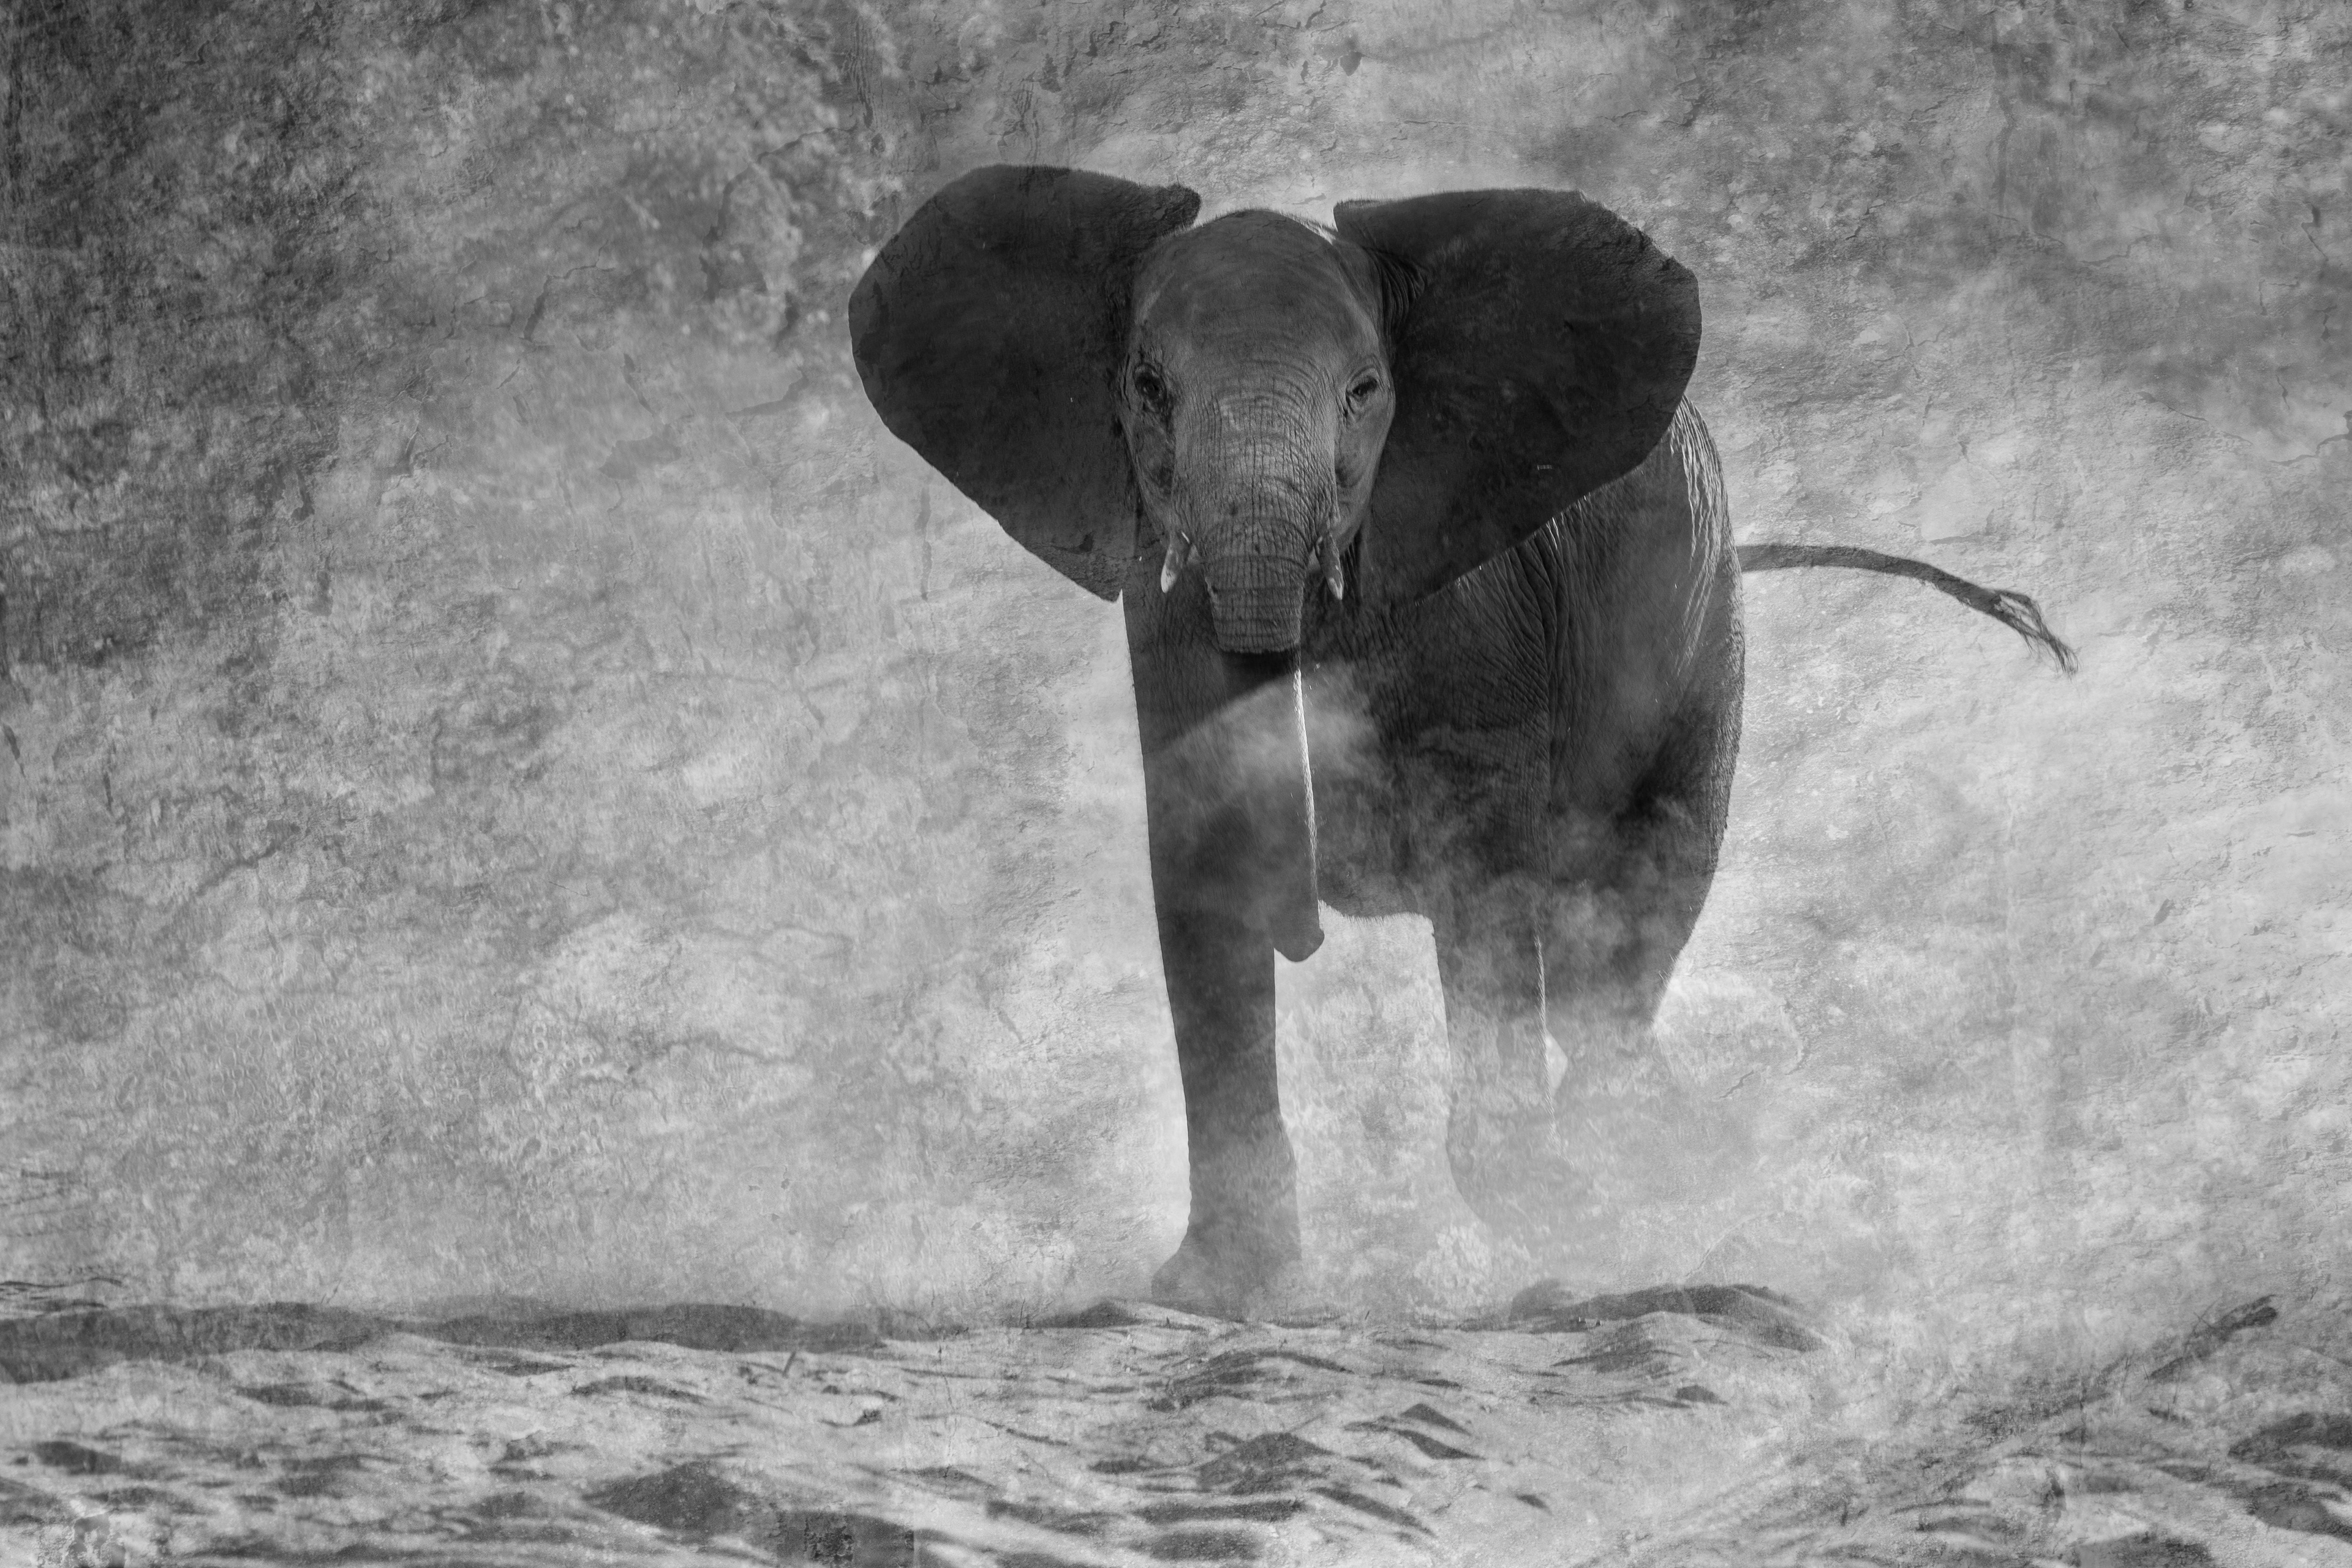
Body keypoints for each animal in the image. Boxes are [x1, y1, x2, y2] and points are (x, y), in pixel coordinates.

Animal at [849, 165, 2073, 1316]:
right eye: (1147, 389)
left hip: (1703, 637)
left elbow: (1480, 862)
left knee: (1607, 933)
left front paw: (1575, 1224)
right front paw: (1216, 1298)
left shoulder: (1472, 585)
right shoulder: (1163, 586)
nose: (1306, 925)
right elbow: (1202, 851)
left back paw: (1668, 1170)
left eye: (1365, 394)